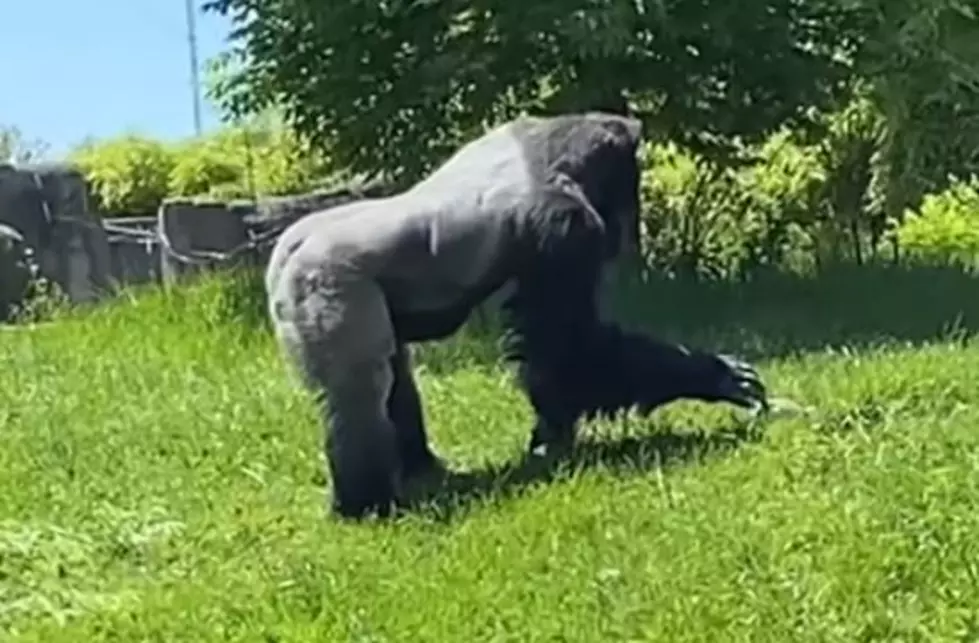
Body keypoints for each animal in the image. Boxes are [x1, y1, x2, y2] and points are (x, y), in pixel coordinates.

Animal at [264, 113, 768, 520]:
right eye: (628, 182)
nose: (626, 225)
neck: (554, 150)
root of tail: (285, 252)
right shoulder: (566, 225)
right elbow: (572, 347)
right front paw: (713, 375)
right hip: (326, 282)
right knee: (360, 392)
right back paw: (366, 504)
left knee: (391, 377)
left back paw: (420, 469)